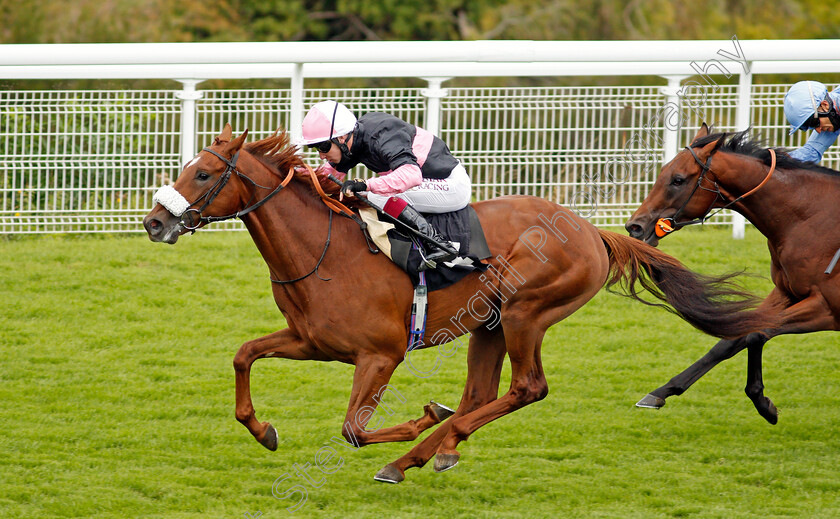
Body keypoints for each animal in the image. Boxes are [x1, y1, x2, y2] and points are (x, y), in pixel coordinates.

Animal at [141, 125, 776, 484]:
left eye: (203, 173)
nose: (152, 223)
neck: (322, 251)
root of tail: (591, 232)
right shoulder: (311, 341)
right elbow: (244, 354)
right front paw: (263, 429)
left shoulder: (381, 355)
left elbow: (353, 429)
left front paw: (421, 418)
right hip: (488, 323)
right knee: (482, 395)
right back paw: (428, 454)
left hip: (524, 312)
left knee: (526, 388)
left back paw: (420, 450)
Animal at [628, 124, 840, 424]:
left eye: (678, 180)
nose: (634, 226)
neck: (810, 218)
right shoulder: (786, 292)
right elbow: (733, 339)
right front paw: (661, 392)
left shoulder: (829, 309)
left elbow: (757, 333)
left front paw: (763, 402)